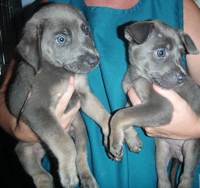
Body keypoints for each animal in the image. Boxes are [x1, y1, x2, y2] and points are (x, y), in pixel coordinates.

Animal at [7, 3, 110, 188]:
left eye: (85, 30)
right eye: (61, 39)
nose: (95, 60)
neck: (61, 72)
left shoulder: (83, 94)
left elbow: (103, 114)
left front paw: (120, 135)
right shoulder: (36, 108)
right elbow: (64, 142)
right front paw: (68, 174)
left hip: (80, 128)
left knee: (81, 155)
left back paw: (87, 177)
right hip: (24, 150)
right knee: (42, 175)